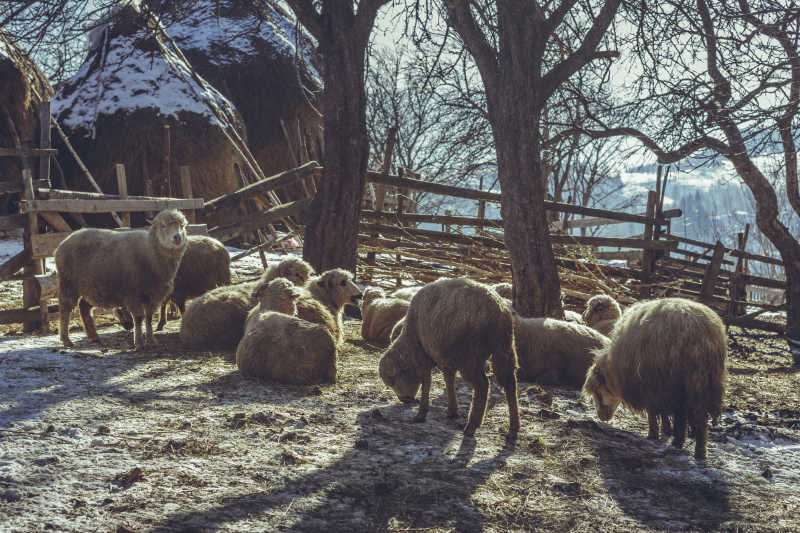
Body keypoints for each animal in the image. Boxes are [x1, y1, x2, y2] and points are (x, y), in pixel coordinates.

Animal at [54, 208, 189, 350]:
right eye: (163, 226)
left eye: (182, 226)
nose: (177, 237)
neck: (150, 253)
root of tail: (62, 243)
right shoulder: (133, 294)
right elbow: (139, 318)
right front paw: (139, 343)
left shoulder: (153, 294)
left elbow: (149, 318)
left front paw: (151, 341)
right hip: (68, 282)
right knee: (65, 309)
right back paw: (66, 340)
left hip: (92, 287)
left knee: (84, 308)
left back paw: (94, 337)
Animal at [380, 276, 520, 434]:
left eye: (393, 381)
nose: (404, 400)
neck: (410, 339)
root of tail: (496, 310)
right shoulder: (446, 359)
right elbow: (449, 381)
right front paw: (452, 411)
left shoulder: (424, 356)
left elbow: (426, 383)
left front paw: (421, 413)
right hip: (504, 347)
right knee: (510, 383)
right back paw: (514, 427)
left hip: (470, 356)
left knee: (483, 386)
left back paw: (472, 426)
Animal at [580, 298, 724, 460]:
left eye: (598, 392)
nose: (602, 417)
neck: (616, 369)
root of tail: (700, 330)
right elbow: (663, 412)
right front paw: (666, 431)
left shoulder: (648, 384)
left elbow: (653, 411)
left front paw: (654, 433)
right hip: (705, 383)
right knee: (698, 416)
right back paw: (698, 451)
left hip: (680, 381)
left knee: (683, 414)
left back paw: (679, 443)